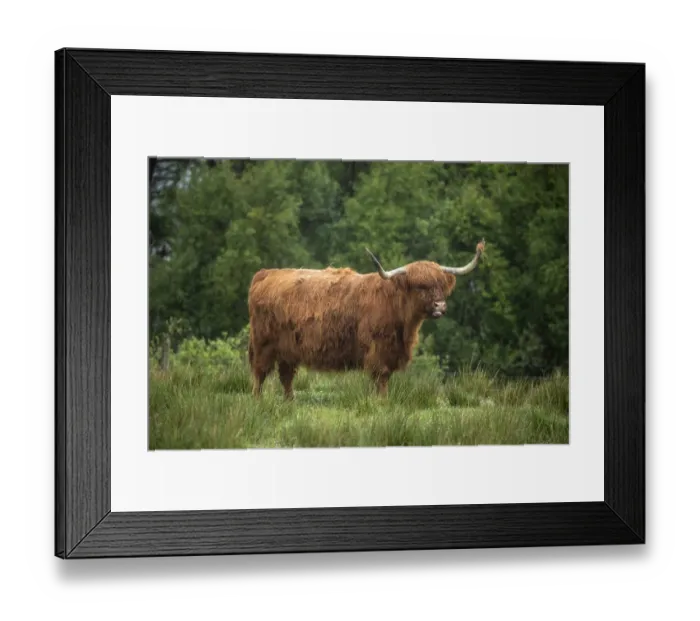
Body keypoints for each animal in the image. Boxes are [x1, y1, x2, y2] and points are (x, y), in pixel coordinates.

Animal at [247, 239, 486, 399]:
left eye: (440, 285)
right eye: (420, 286)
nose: (440, 306)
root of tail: (266, 273)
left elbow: (384, 378)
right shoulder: (377, 350)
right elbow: (380, 377)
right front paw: (381, 401)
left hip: (288, 349)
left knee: (286, 375)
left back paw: (290, 401)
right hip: (263, 344)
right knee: (260, 372)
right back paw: (258, 400)